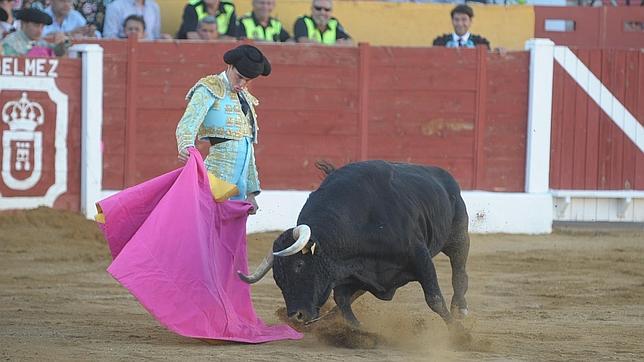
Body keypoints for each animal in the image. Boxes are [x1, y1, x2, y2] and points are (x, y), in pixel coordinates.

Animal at [239, 160, 470, 330]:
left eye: (299, 265)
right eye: (277, 276)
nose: (297, 316)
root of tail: (443, 175)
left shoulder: (419, 255)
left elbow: (434, 298)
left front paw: (458, 333)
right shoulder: (350, 271)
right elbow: (342, 299)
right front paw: (359, 332)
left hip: (458, 237)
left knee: (459, 273)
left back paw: (461, 310)